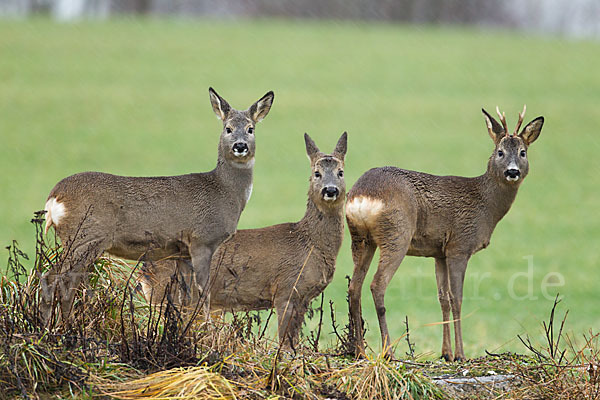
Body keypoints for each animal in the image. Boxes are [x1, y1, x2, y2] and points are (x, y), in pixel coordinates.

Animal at [41, 86, 276, 322]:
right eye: (228, 128)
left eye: (250, 129)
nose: (240, 146)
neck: (225, 191)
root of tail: (54, 197)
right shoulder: (202, 240)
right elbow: (204, 295)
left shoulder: (182, 251)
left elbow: (186, 299)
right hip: (85, 237)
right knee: (57, 277)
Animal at [141, 133, 346, 348]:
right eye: (317, 173)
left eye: (340, 172)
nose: (330, 190)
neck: (309, 242)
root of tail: (144, 271)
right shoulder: (286, 289)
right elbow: (285, 344)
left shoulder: (303, 299)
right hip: (167, 296)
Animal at [342, 105, 544, 360]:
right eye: (500, 152)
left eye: (522, 152)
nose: (512, 172)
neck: (486, 205)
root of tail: (361, 196)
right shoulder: (460, 245)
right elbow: (457, 299)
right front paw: (460, 354)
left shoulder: (439, 252)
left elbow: (443, 299)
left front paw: (446, 353)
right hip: (397, 234)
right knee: (377, 285)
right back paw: (388, 352)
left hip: (360, 239)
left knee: (354, 287)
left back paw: (359, 351)